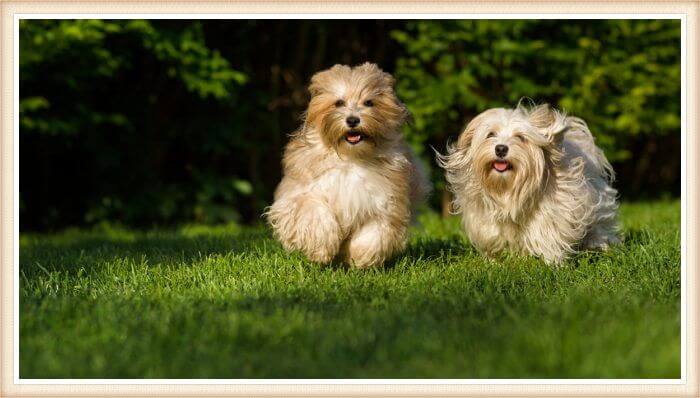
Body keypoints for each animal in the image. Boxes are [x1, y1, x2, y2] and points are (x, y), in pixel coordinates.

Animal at [266, 63, 426, 268]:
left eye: (369, 103)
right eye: (339, 103)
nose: (352, 120)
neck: (351, 159)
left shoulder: (386, 203)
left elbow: (374, 233)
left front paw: (360, 258)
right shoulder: (299, 194)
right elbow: (313, 212)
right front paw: (322, 250)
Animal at [440, 102, 620, 264]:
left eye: (520, 137)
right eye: (491, 134)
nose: (501, 149)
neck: (508, 188)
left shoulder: (555, 209)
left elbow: (547, 233)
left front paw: (550, 262)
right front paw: (495, 261)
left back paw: (597, 244)